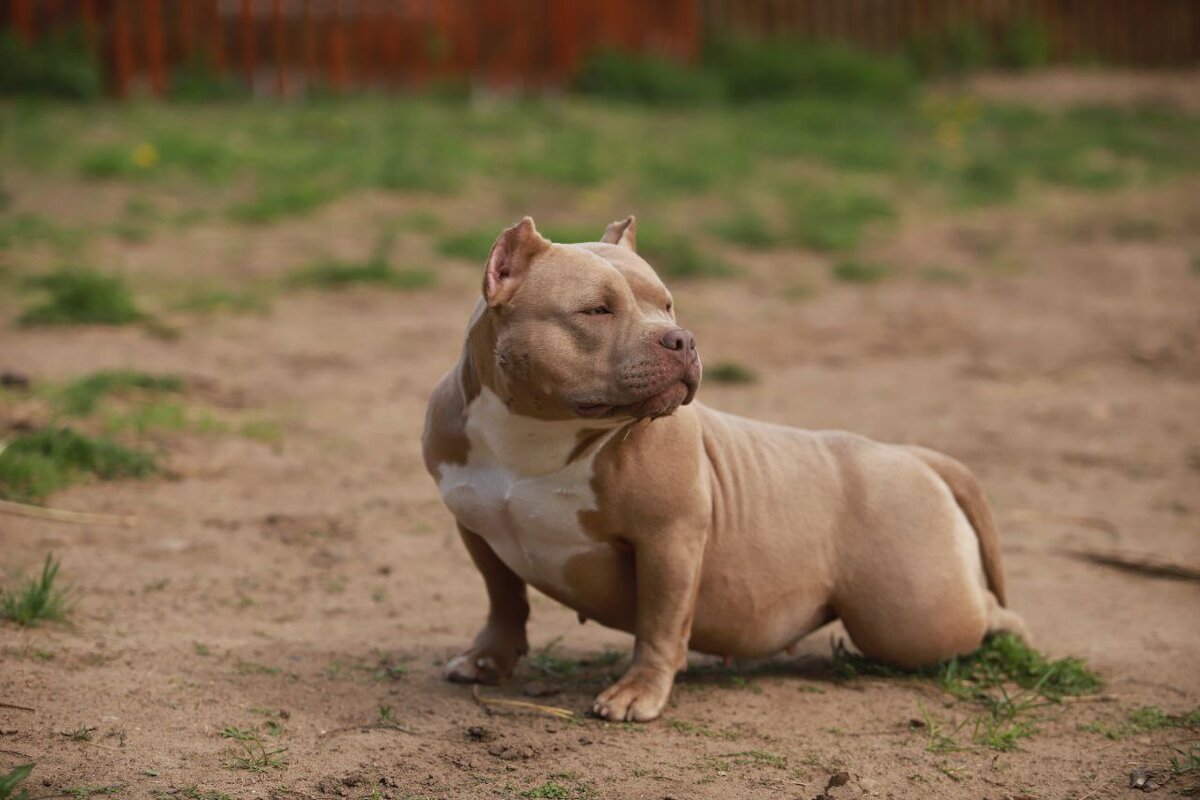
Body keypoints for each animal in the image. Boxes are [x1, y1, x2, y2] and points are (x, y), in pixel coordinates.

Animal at [420, 215, 1022, 724]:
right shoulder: (476, 526)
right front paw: (486, 661)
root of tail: (914, 454)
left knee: (982, 615)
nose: (682, 338)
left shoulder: (669, 538)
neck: (536, 435)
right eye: (596, 310)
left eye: (667, 306)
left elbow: (660, 622)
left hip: (914, 616)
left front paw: (639, 692)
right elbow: (504, 599)